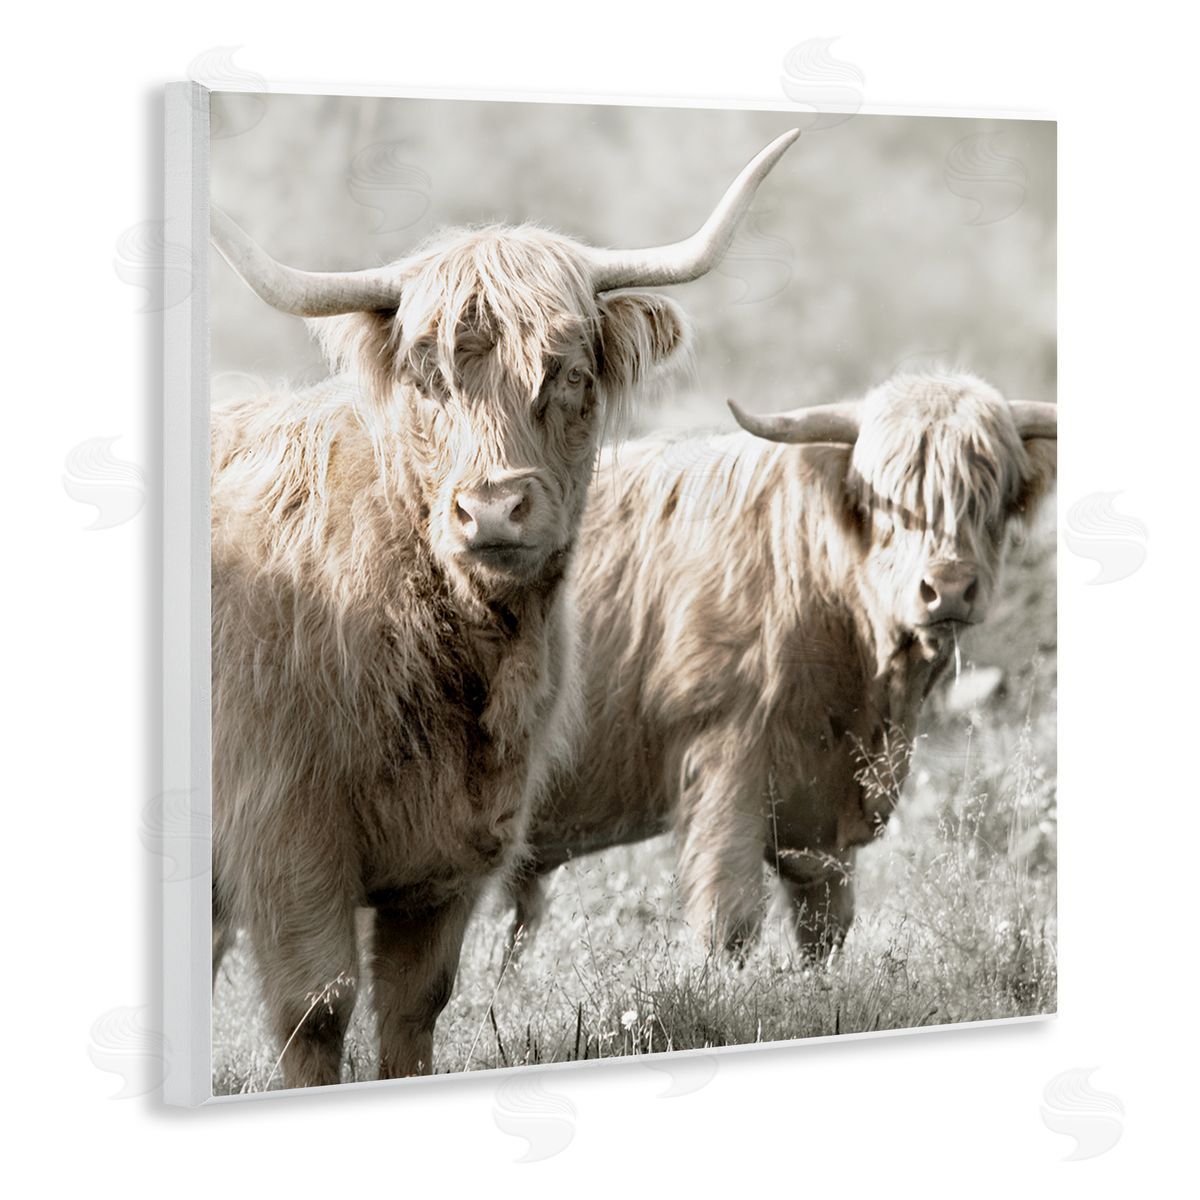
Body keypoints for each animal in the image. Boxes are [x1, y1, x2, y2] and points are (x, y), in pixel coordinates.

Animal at [208, 128, 801, 1088]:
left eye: (567, 372)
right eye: (428, 378)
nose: (491, 509)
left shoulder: (446, 861)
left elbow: (414, 1009)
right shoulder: (283, 836)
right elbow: (317, 1010)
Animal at [506, 370, 1057, 960]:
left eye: (991, 500)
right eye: (885, 505)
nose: (948, 588)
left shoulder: (822, 819)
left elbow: (826, 928)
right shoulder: (726, 764)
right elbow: (728, 922)